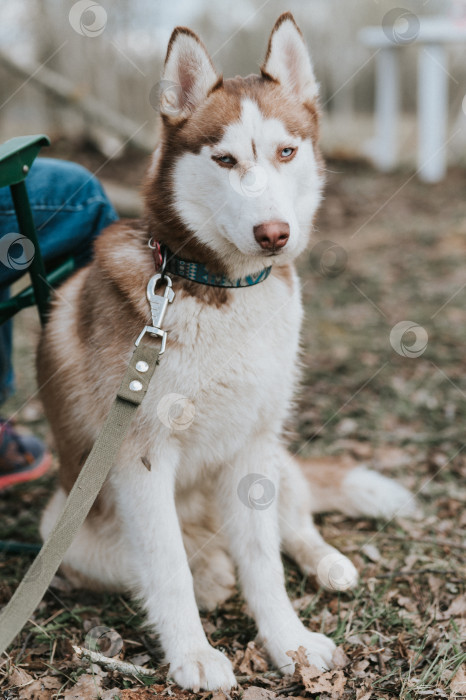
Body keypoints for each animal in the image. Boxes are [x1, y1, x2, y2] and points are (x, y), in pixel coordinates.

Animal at [38, 13, 414, 692]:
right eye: (225, 159)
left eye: (286, 152)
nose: (275, 234)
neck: (219, 289)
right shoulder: (140, 458)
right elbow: (167, 567)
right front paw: (192, 655)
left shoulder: (252, 448)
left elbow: (264, 561)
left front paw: (289, 643)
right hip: (64, 524)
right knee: (186, 563)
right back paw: (213, 569)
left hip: (277, 460)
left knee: (295, 524)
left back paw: (327, 562)